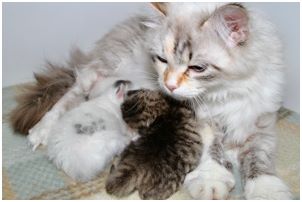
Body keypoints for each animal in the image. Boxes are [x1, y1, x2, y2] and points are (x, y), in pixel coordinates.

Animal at [10, 2, 292, 200]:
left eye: (197, 67)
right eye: (162, 60)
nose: (169, 85)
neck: (223, 93)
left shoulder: (259, 120)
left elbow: (260, 158)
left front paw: (266, 191)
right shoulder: (198, 119)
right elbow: (211, 149)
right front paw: (211, 180)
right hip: (101, 68)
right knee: (71, 93)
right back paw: (41, 132)